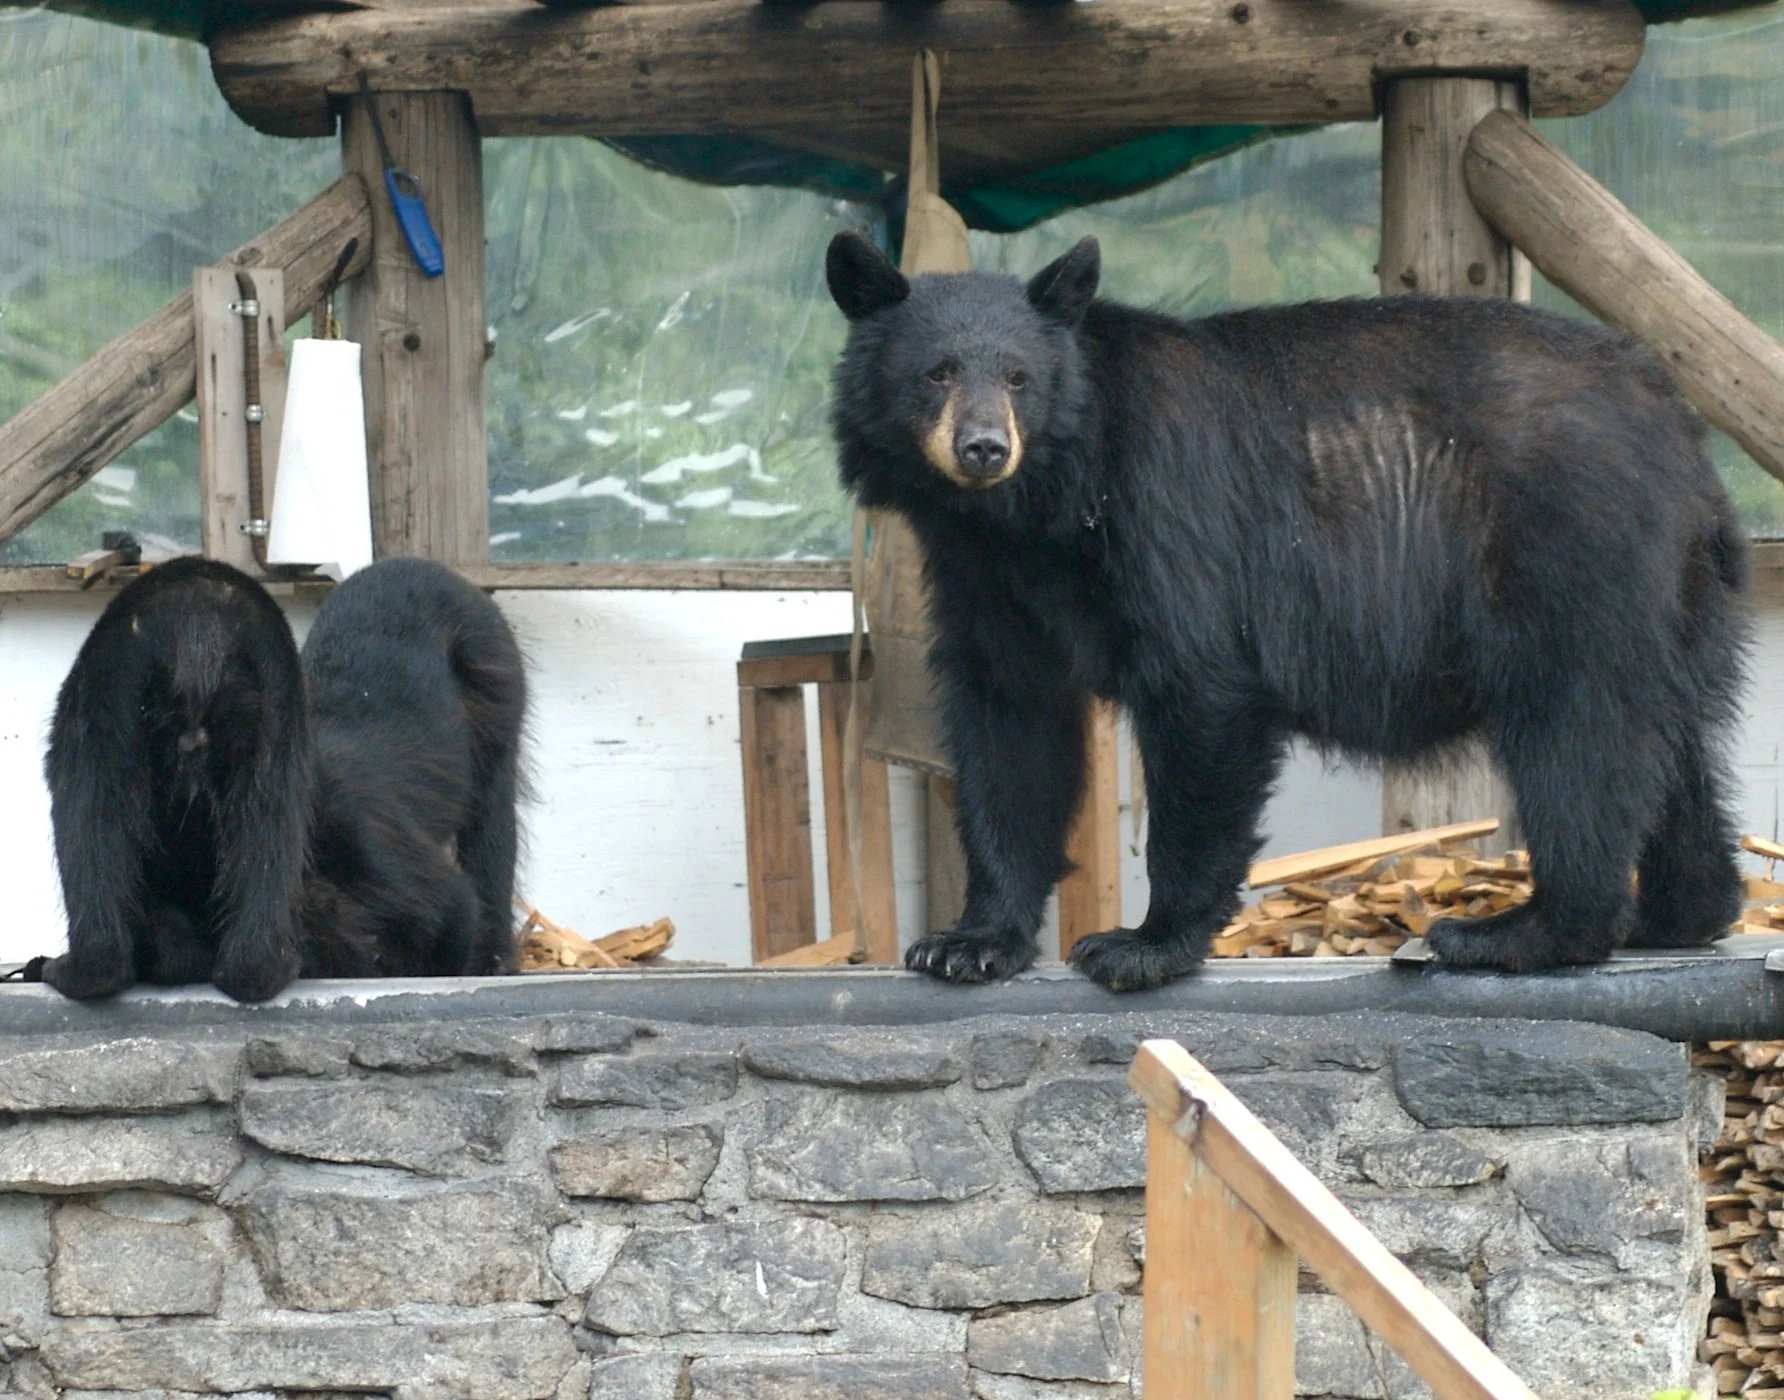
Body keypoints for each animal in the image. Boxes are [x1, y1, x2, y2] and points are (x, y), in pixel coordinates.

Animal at [42, 556, 311, 1002]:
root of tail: (198, 627)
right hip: (271, 721)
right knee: (269, 823)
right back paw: (254, 967)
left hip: (106, 701)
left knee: (89, 816)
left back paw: (86, 969)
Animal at [825, 230, 1750, 990]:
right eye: (938, 372)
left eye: (1021, 377)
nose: (984, 447)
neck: (1038, 508)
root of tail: (1682, 430)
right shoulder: (985, 576)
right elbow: (1008, 718)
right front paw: (968, 942)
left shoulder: (1166, 509)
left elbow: (1199, 686)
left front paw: (1141, 945)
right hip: (1677, 596)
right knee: (1667, 742)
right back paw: (1680, 913)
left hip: (1569, 548)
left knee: (1577, 730)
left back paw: (1516, 932)